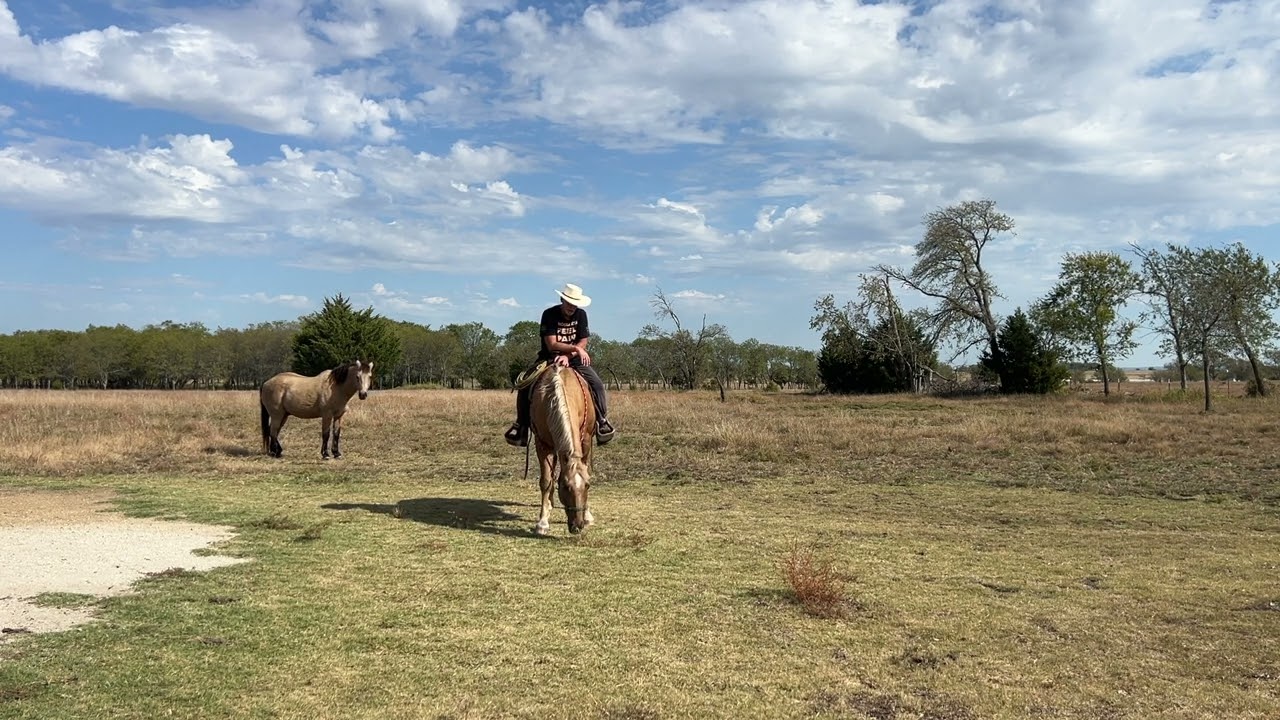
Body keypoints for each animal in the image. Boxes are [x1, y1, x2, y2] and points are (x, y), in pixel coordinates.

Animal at [529, 365, 596, 535]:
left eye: (587, 486)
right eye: (565, 487)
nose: (578, 526)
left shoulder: (586, 439)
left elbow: (587, 470)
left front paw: (588, 515)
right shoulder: (543, 444)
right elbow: (547, 481)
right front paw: (542, 522)